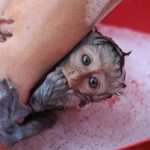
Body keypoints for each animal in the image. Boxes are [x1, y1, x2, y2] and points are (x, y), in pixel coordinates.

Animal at [0, 29, 129, 146]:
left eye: (93, 82)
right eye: (85, 60)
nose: (74, 77)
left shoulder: (70, 99)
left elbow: (37, 110)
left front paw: (48, 91)